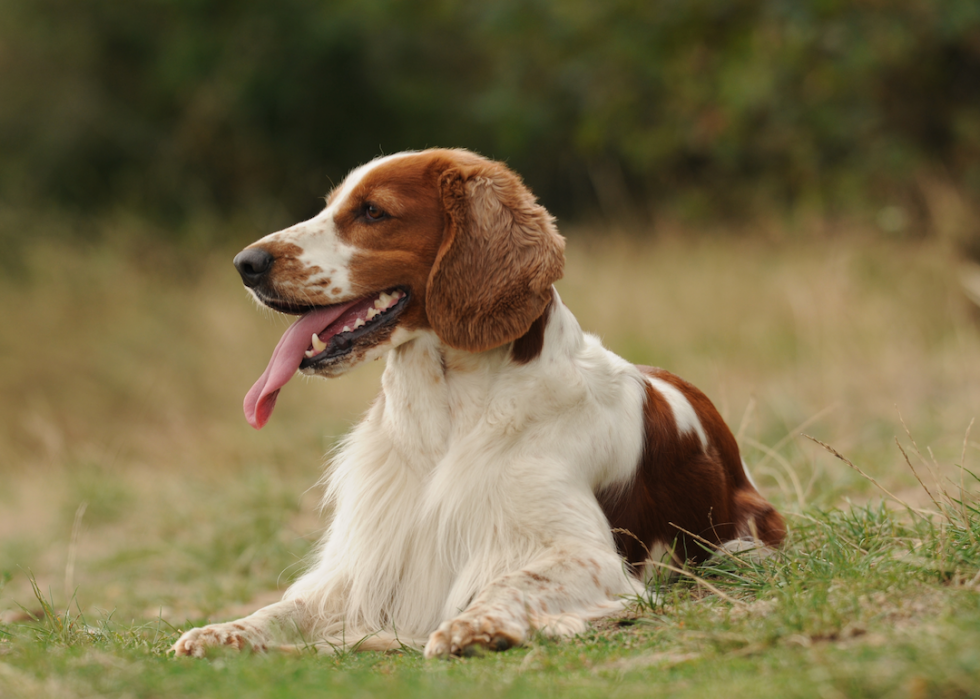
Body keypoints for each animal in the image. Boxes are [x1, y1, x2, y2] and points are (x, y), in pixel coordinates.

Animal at [170, 150, 788, 660]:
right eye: (331, 206)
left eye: (372, 211)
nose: (246, 263)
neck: (445, 416)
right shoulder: (371, 560)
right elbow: (289, 606)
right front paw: (224, 631)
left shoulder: (588, 555)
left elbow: (510, 581)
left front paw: (476, 626)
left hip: (743, 540)